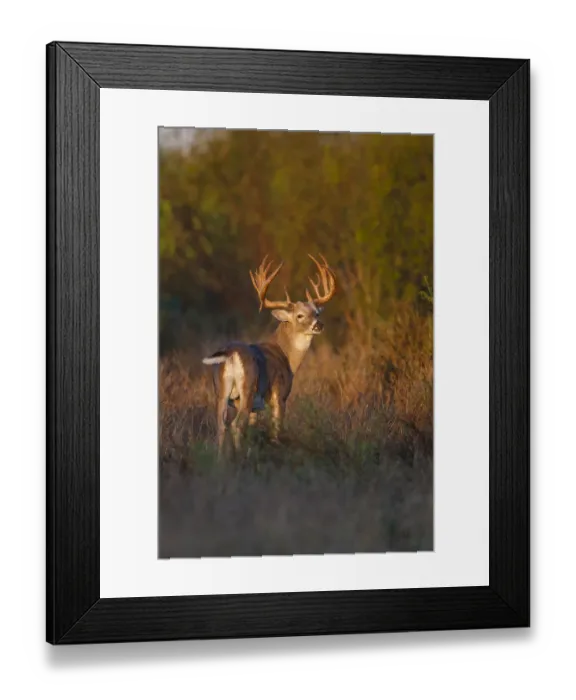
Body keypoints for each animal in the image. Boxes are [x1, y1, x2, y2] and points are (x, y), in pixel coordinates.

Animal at [202, 253, 337, 456]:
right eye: (299, 315)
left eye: (317, 313)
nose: (318, 325)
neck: (285, 355)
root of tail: (231, 353)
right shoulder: (279, 395)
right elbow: (275, 432)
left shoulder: (256, 407)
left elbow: (252, 430)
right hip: (247, 388)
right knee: (236, 425)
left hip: (221, 390)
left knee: (221, 425)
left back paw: (221, 460)